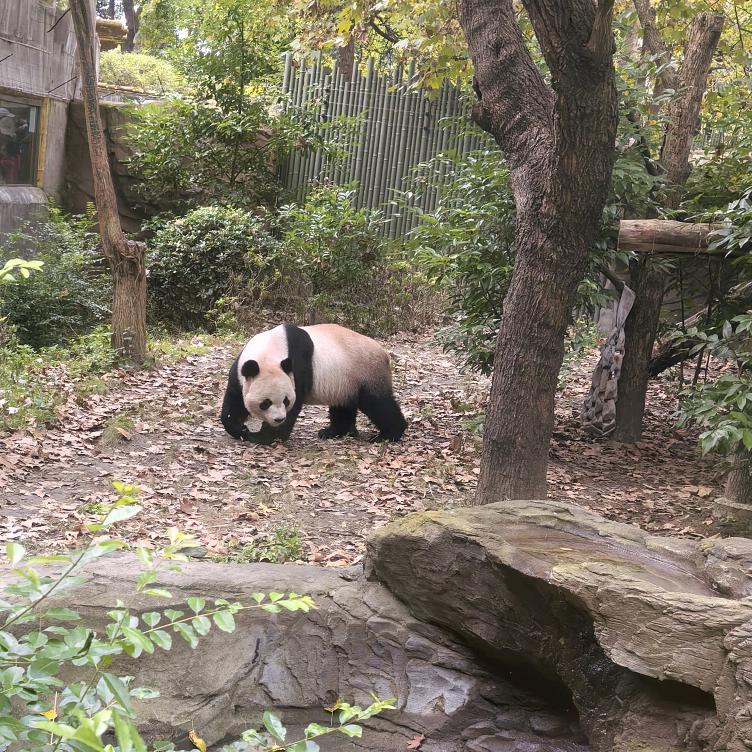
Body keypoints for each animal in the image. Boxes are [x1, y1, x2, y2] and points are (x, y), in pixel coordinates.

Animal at [220, 324, 407, 445]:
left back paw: (388, 434)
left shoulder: (298, 367)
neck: (269, 352)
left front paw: (263, 437)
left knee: (378, 404)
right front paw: (239, 429)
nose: (279, 419)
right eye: (265, 403)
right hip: (346, 380)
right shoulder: (240, 370)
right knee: (343, 406)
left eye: (286, 400)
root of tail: (384, 353)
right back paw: (333, 432)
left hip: (366, 372)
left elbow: (295, 404)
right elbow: (235, 401)